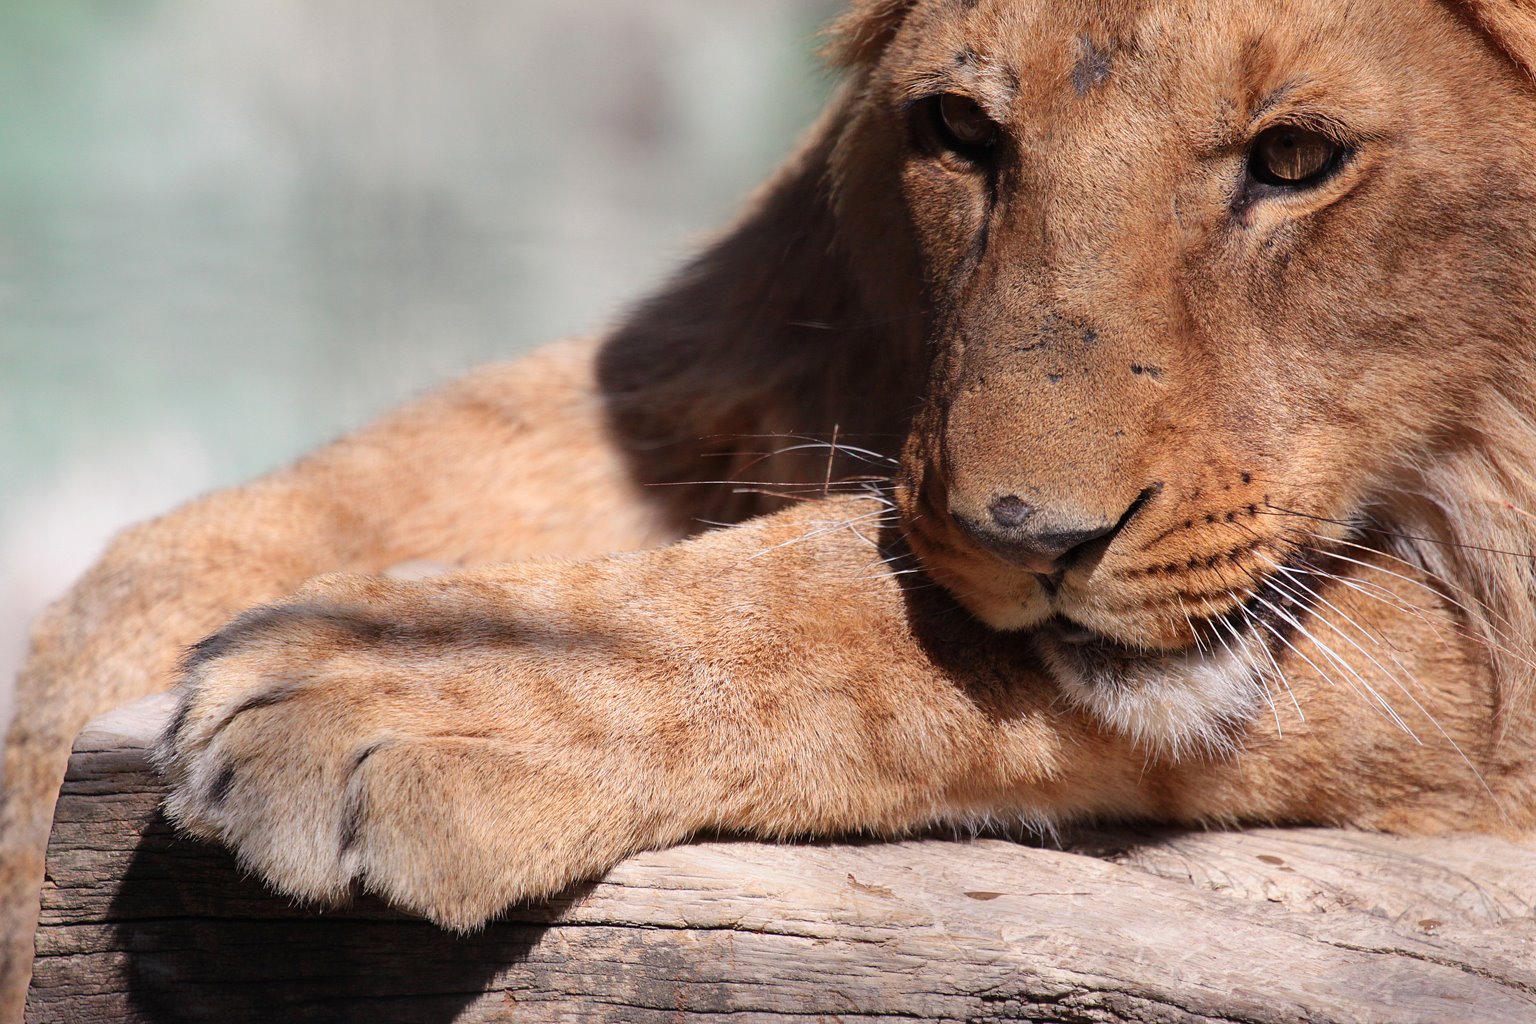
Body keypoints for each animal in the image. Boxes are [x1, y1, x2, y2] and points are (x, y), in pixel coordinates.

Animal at [6, 0, 1536, 1014]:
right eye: (959, 130)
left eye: (1299, 159)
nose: (1029, 539)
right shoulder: (718, 362)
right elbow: (205, 546)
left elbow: (856, 597)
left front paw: (413, 689)